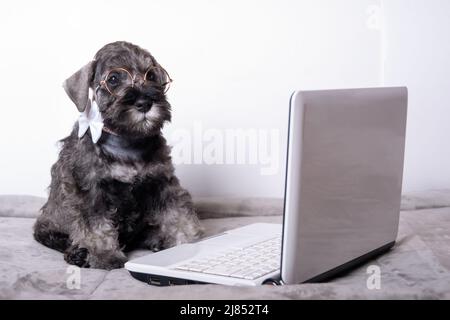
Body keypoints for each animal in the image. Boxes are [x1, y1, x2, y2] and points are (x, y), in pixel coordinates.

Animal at [34, 40, 203, 270]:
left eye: (152, 76)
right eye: (113, 79)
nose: (144, 103)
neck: (126, 140)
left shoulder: (161, 182)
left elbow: (176, 212)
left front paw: (187, 240)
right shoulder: (90, 190)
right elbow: (96, 227)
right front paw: (105, 255)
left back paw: (157, 239)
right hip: (49, 226)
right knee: (58, 238)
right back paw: (78, 254)